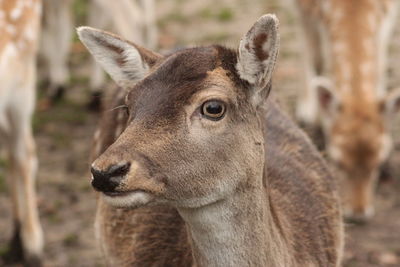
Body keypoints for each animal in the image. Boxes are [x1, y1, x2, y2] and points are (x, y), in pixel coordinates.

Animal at [292, 0, 400, 222]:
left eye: (378, 163)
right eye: (338, 162)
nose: (359, 214)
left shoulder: (391, 13)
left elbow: (380, 63)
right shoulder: (306, 9)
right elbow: (317, 59)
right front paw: (317, 122)